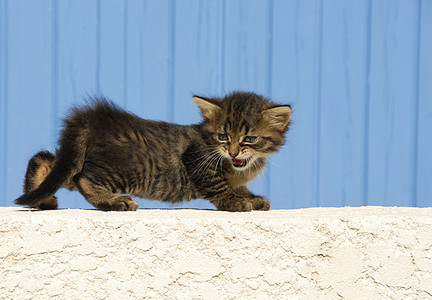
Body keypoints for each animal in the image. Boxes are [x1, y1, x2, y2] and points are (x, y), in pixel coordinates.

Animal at [15, 91, 292, 211]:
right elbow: (219, 186)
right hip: (125, 168)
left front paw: (252, 198)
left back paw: (41, 198)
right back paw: (113, 200)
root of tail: (92, 120)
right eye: (223, 137)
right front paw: (234, 202)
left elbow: (240, 186)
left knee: (46, 160)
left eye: (250, 139)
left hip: (77, 158)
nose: (233, 152)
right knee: (82, 177)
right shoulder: (197, 160)